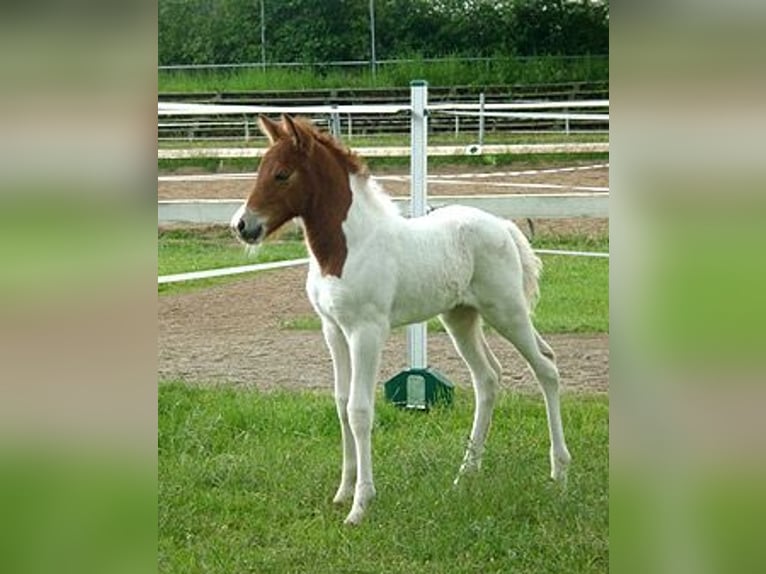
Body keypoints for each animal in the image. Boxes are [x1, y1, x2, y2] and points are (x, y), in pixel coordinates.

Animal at [232, 116, 568, 528]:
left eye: (282, 174)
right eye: (260, 170)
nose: (243, 226)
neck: (349, 247)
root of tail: (503, 226)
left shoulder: (367, 331)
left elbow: (359, 410)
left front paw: (361, 504)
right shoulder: (333, 331)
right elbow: (341, 403)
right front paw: (342, 492)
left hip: (507, 311)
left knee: (546, 367)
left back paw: (559, 473)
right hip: (461, 317)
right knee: (488, 378)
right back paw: (465, 474)